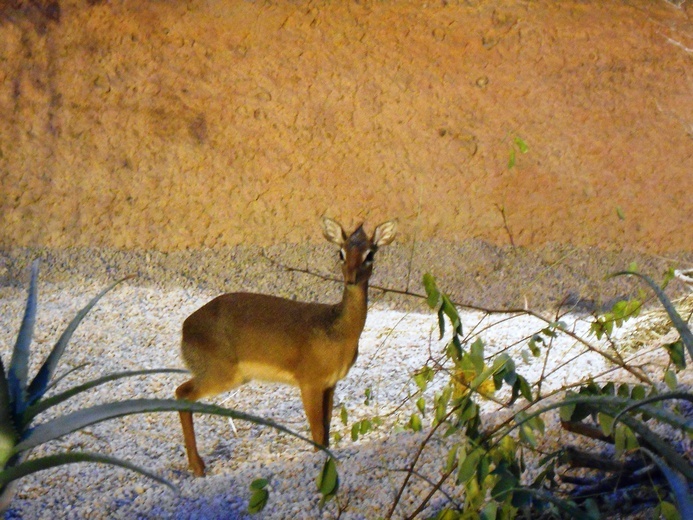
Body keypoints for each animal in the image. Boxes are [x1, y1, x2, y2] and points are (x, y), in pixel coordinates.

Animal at [176, 215, 398, 476]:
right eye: (341, 252)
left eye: (369, 254)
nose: (351, 279)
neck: (338, 331)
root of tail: (186, 328)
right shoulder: (309, 383)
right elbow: (317, 433)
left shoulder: (330, 384)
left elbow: (326, 432)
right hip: (222, 374)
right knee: (181, 393)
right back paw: (198, 467)